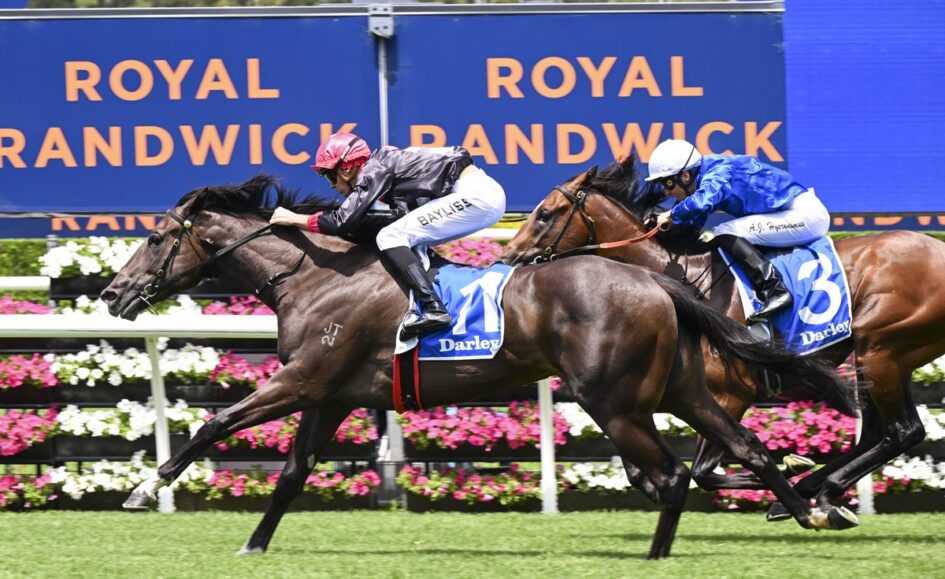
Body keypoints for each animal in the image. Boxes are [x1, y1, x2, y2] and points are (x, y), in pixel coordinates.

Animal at [98, 174, 858, 560]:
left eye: (157, 237)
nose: (112, 294)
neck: (311, 276)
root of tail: (653, 280)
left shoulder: (304, 379)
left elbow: (215, 422)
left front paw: (143, 488)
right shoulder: (331, 393)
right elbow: (290, 473)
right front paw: (254, 546)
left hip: (613, 399)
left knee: (670, 474)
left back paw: (660, 554)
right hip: (681, 388)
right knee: (745, 447)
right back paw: (814, 510)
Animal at [498, 154, 945, 519]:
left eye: (545, 214)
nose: (507, 257)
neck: (688, 279)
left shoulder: (732, 393)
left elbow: (706, 470)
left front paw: (789, 476)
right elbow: (657, 469)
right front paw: (792, 473)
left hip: (880, 349)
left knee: (902, 431)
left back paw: (820, 490)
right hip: (887, 357)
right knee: (881, 433)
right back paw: (816, 489)